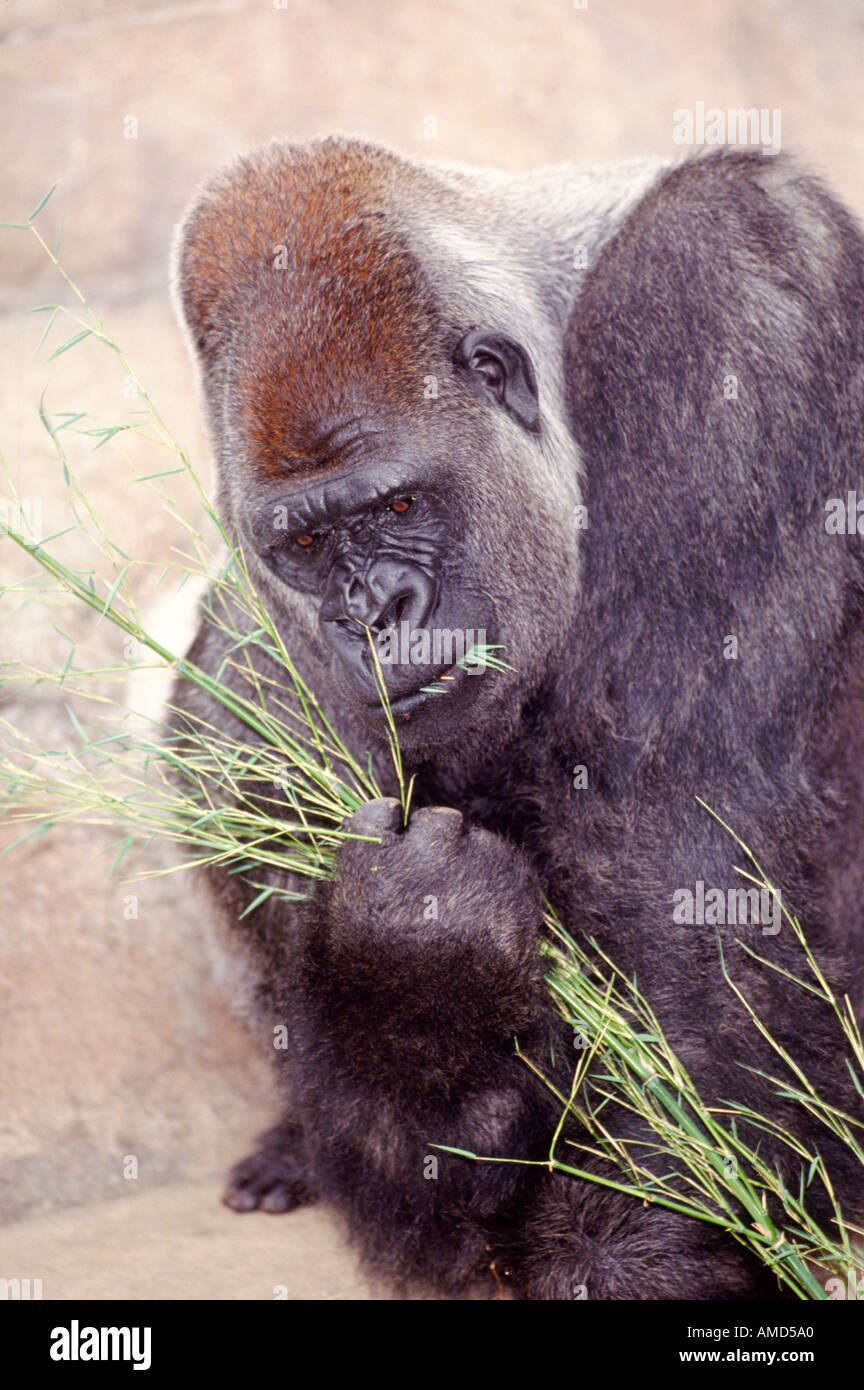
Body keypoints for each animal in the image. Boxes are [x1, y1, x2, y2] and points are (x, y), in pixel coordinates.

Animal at [172, 135, 864, 1299]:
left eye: (400, 506)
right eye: (306, 545)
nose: (372, 617)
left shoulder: (727, 286)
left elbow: (691, 862)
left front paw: (634, 1257)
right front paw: (413, 997)